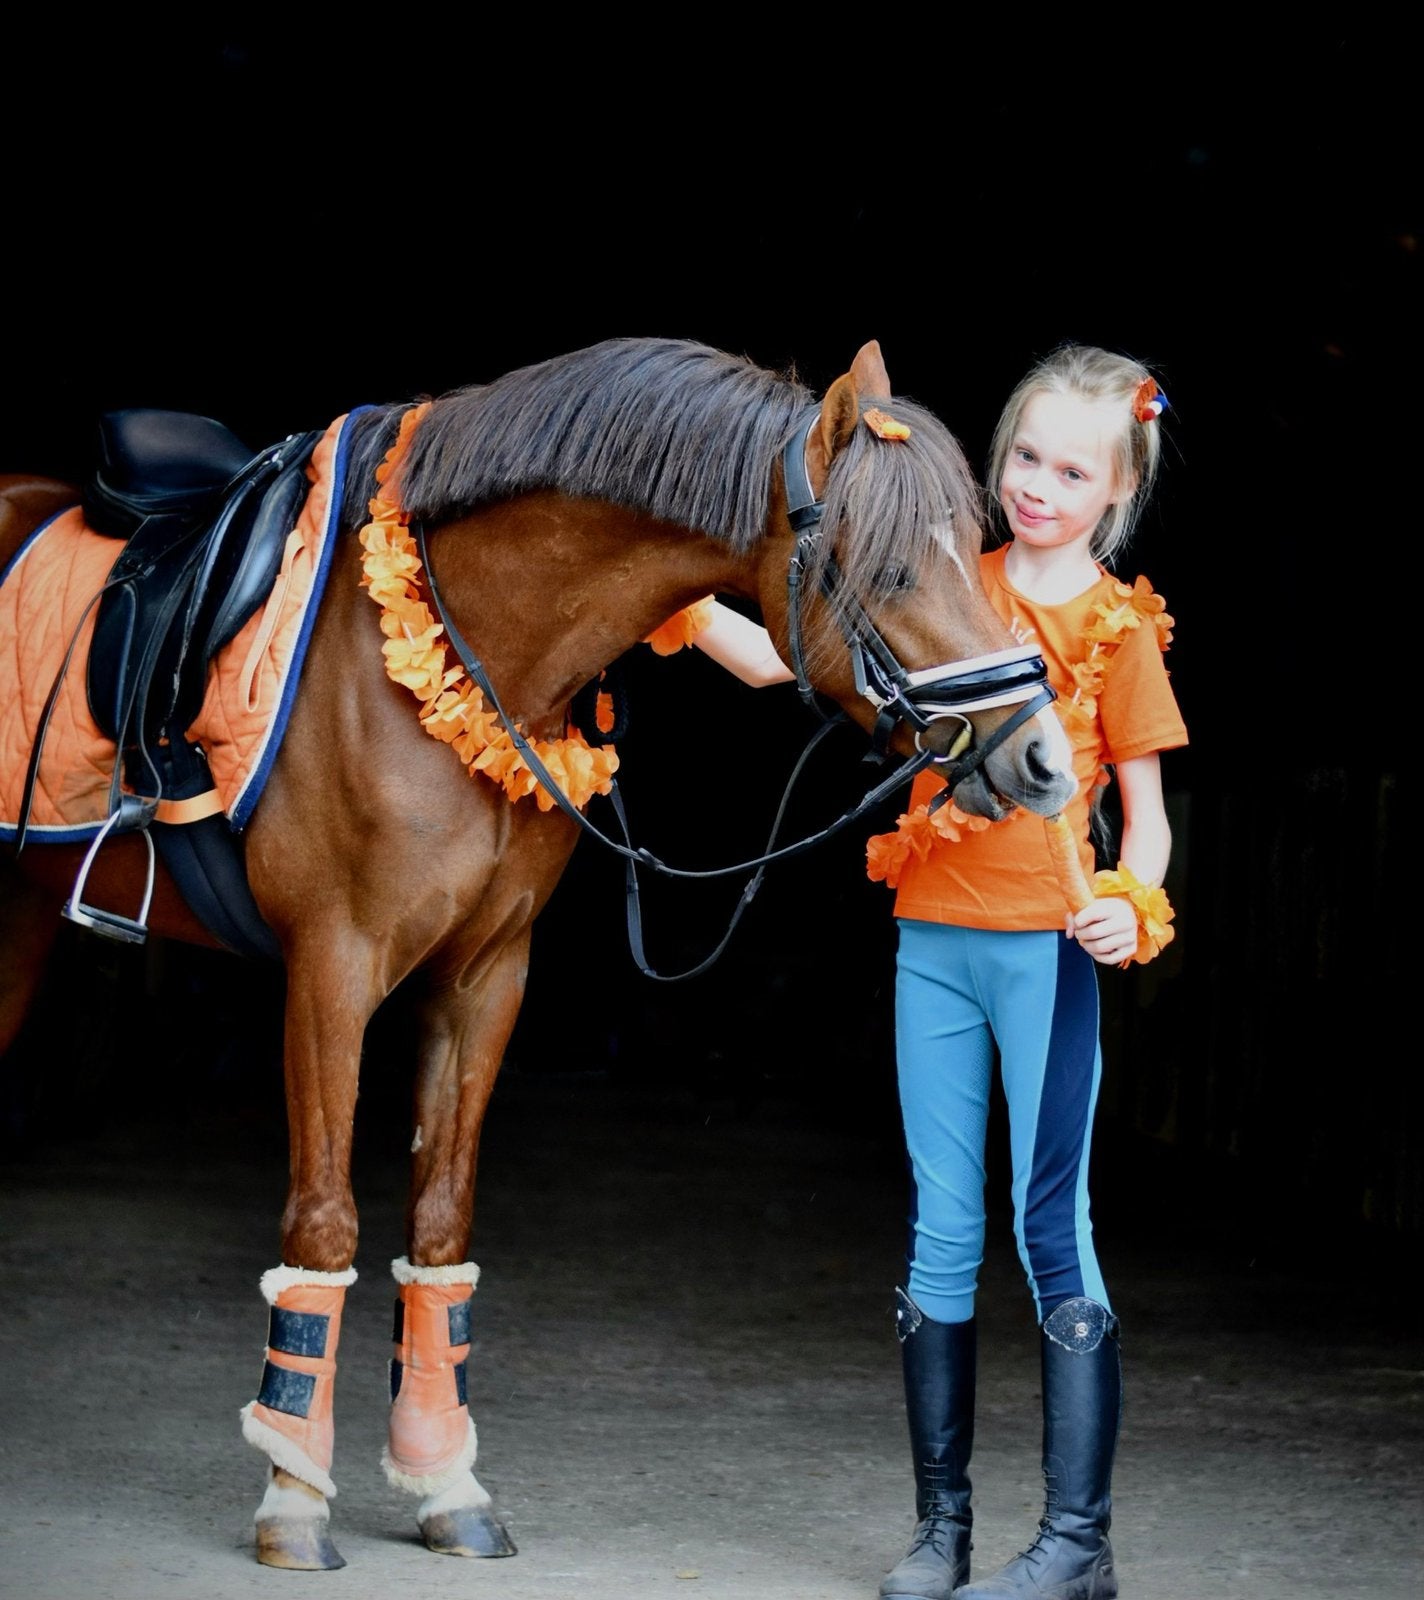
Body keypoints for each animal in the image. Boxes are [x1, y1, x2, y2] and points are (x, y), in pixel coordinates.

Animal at [0, 336, 1077, 1571]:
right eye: (891, 572)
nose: (1044, 760)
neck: (465, 647)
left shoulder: (486, 976)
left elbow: (440, 1218)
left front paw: (442, 1482)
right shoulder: (332, 967)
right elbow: (324, 1219)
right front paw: (294, 1497)